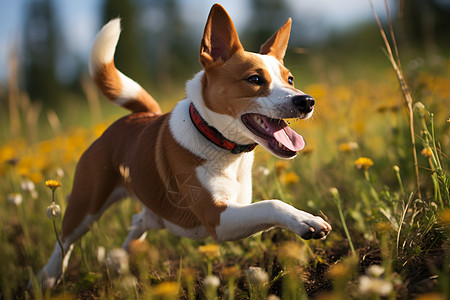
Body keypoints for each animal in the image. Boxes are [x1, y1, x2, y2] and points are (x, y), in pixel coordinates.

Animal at [33, 2, 330, 288]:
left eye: (290, 79)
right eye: (255, 79)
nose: (306, 101)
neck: (218, 143)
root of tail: (139, 115)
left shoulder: (236, 205)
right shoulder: (216, 217)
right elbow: (271, 204)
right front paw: (306, 220)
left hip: (153, 212)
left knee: (138, 221)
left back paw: (120, 260)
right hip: (86, 205)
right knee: (65, 241)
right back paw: (46, 278)